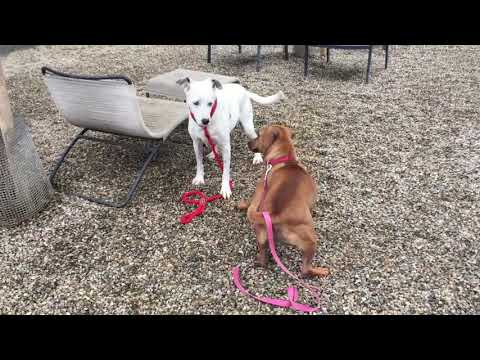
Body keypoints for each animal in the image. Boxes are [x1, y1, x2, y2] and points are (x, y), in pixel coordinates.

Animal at [237, 125, 328, 278]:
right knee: (305, 269)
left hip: (261, 232)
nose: (248, 142)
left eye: (259, 135)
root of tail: (276, 214)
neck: (285, 159)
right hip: (311, 240)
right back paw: (321, 271)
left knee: (263, 257)